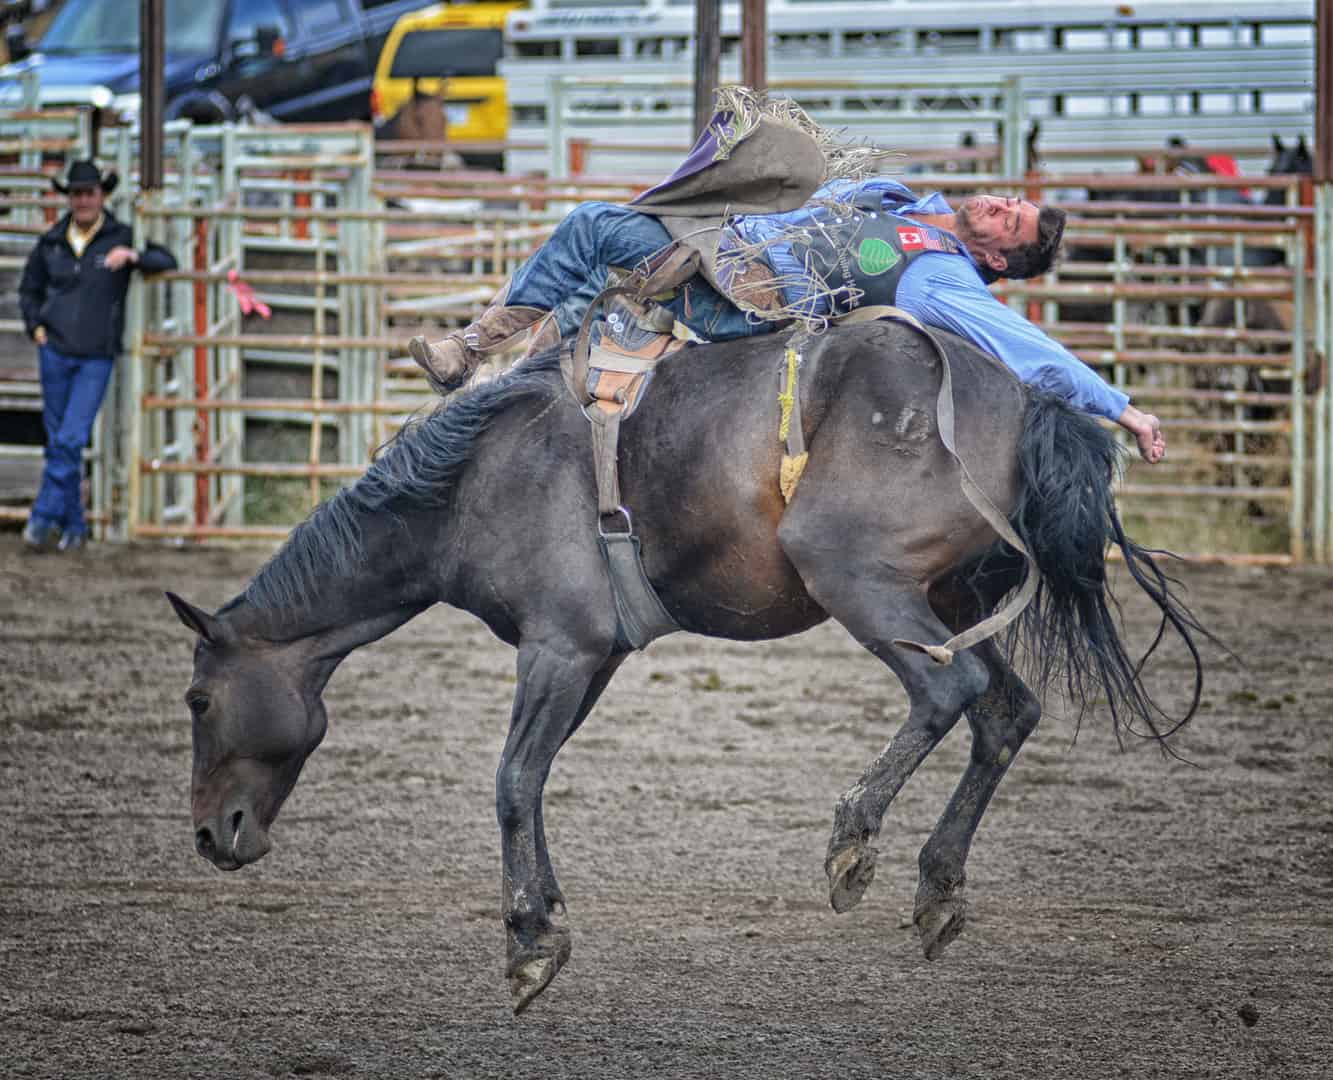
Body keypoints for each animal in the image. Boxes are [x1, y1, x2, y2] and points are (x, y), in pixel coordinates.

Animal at [166, 320, 1210, 1008]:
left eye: (198, 700)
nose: (213, 836)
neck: (469, 484)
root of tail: (1028, 399)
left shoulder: (559, 644)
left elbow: (509, 780)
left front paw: (527, 942)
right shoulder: (592, 657)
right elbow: (534, 779)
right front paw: (546, 913)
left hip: (859, 577)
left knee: (947, 691)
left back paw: (852, 842)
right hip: (951, 599)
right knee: (1004, 711)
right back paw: (937, 889)